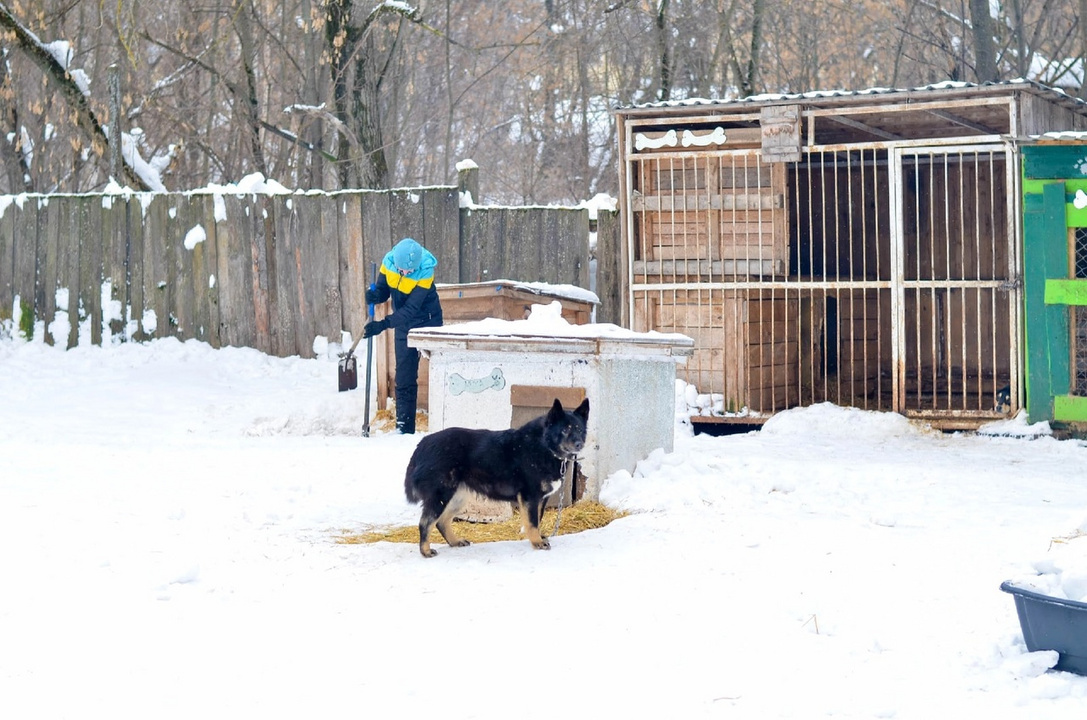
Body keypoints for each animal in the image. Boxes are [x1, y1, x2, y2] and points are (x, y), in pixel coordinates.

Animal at [404, 400, 591, 556]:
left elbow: (537, 519)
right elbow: (532, 523)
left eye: (580, 430)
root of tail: (422, 444)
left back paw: (455, 542)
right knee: (425, 522)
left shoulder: (540, 499)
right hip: (441, 496)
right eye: (565, 429)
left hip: (458, 498)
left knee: (441, 522)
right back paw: (425, 551)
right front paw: (537, 542)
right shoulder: (530, 497)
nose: (579, 444)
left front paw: (538, 538)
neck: (544, 445)